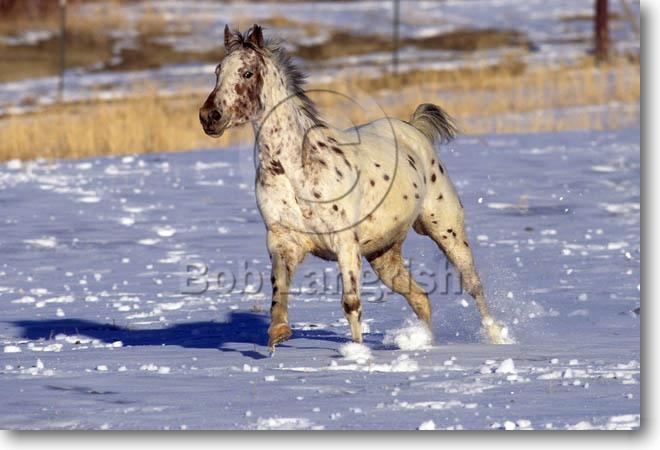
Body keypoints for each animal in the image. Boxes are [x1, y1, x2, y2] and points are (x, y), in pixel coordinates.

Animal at [199, 24, 509, 352]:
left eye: (247, 73)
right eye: (217, 71)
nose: (209, 117)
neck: (297, 171)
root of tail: (414, 130)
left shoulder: (345, 243)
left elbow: (351, 303)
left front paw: (357, 353)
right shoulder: (282, 241)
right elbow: (278, 292)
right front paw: (278, 334)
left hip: (446, 230)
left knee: (473, 285)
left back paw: (496, 338)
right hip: (384, 255)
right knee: (420, 297)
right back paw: (423, 342)